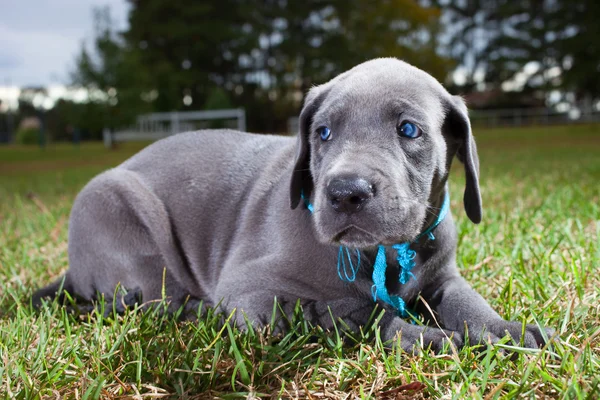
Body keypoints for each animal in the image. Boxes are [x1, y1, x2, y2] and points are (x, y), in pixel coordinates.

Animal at [31, 57, 548, 352]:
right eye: (323, 133)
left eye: (408, 129)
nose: (345, 192)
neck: (382, 252)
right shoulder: (251, 289)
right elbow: (356, 312)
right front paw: (425, 336)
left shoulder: (443, 275)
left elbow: (466, 298)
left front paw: (503, 330)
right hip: (123, 217)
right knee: (155, 301)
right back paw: (197, 310)